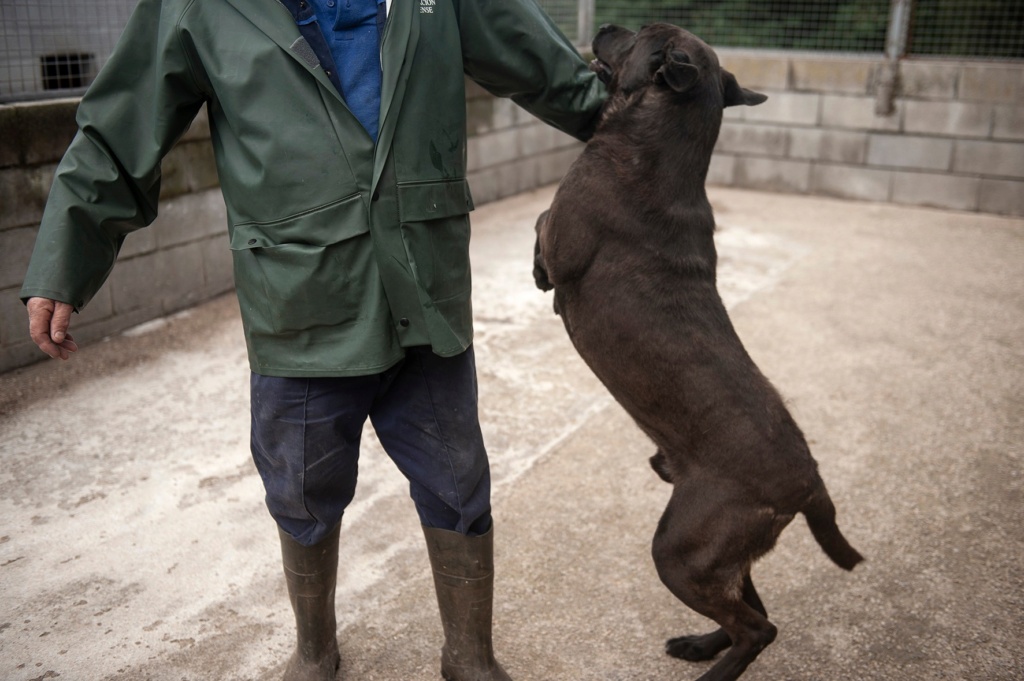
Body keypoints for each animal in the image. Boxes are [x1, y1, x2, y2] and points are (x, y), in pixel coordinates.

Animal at [536, 23, 864, 675]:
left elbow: (539, 226)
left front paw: (535, 272)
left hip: (680, 549)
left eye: (640, 35)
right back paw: (700, 645)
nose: (608, 24)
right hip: (716, 553)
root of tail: (811, 483)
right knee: (754, 609)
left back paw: (713, 669)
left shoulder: (563, 237)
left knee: (757, 628)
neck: (660, 152)